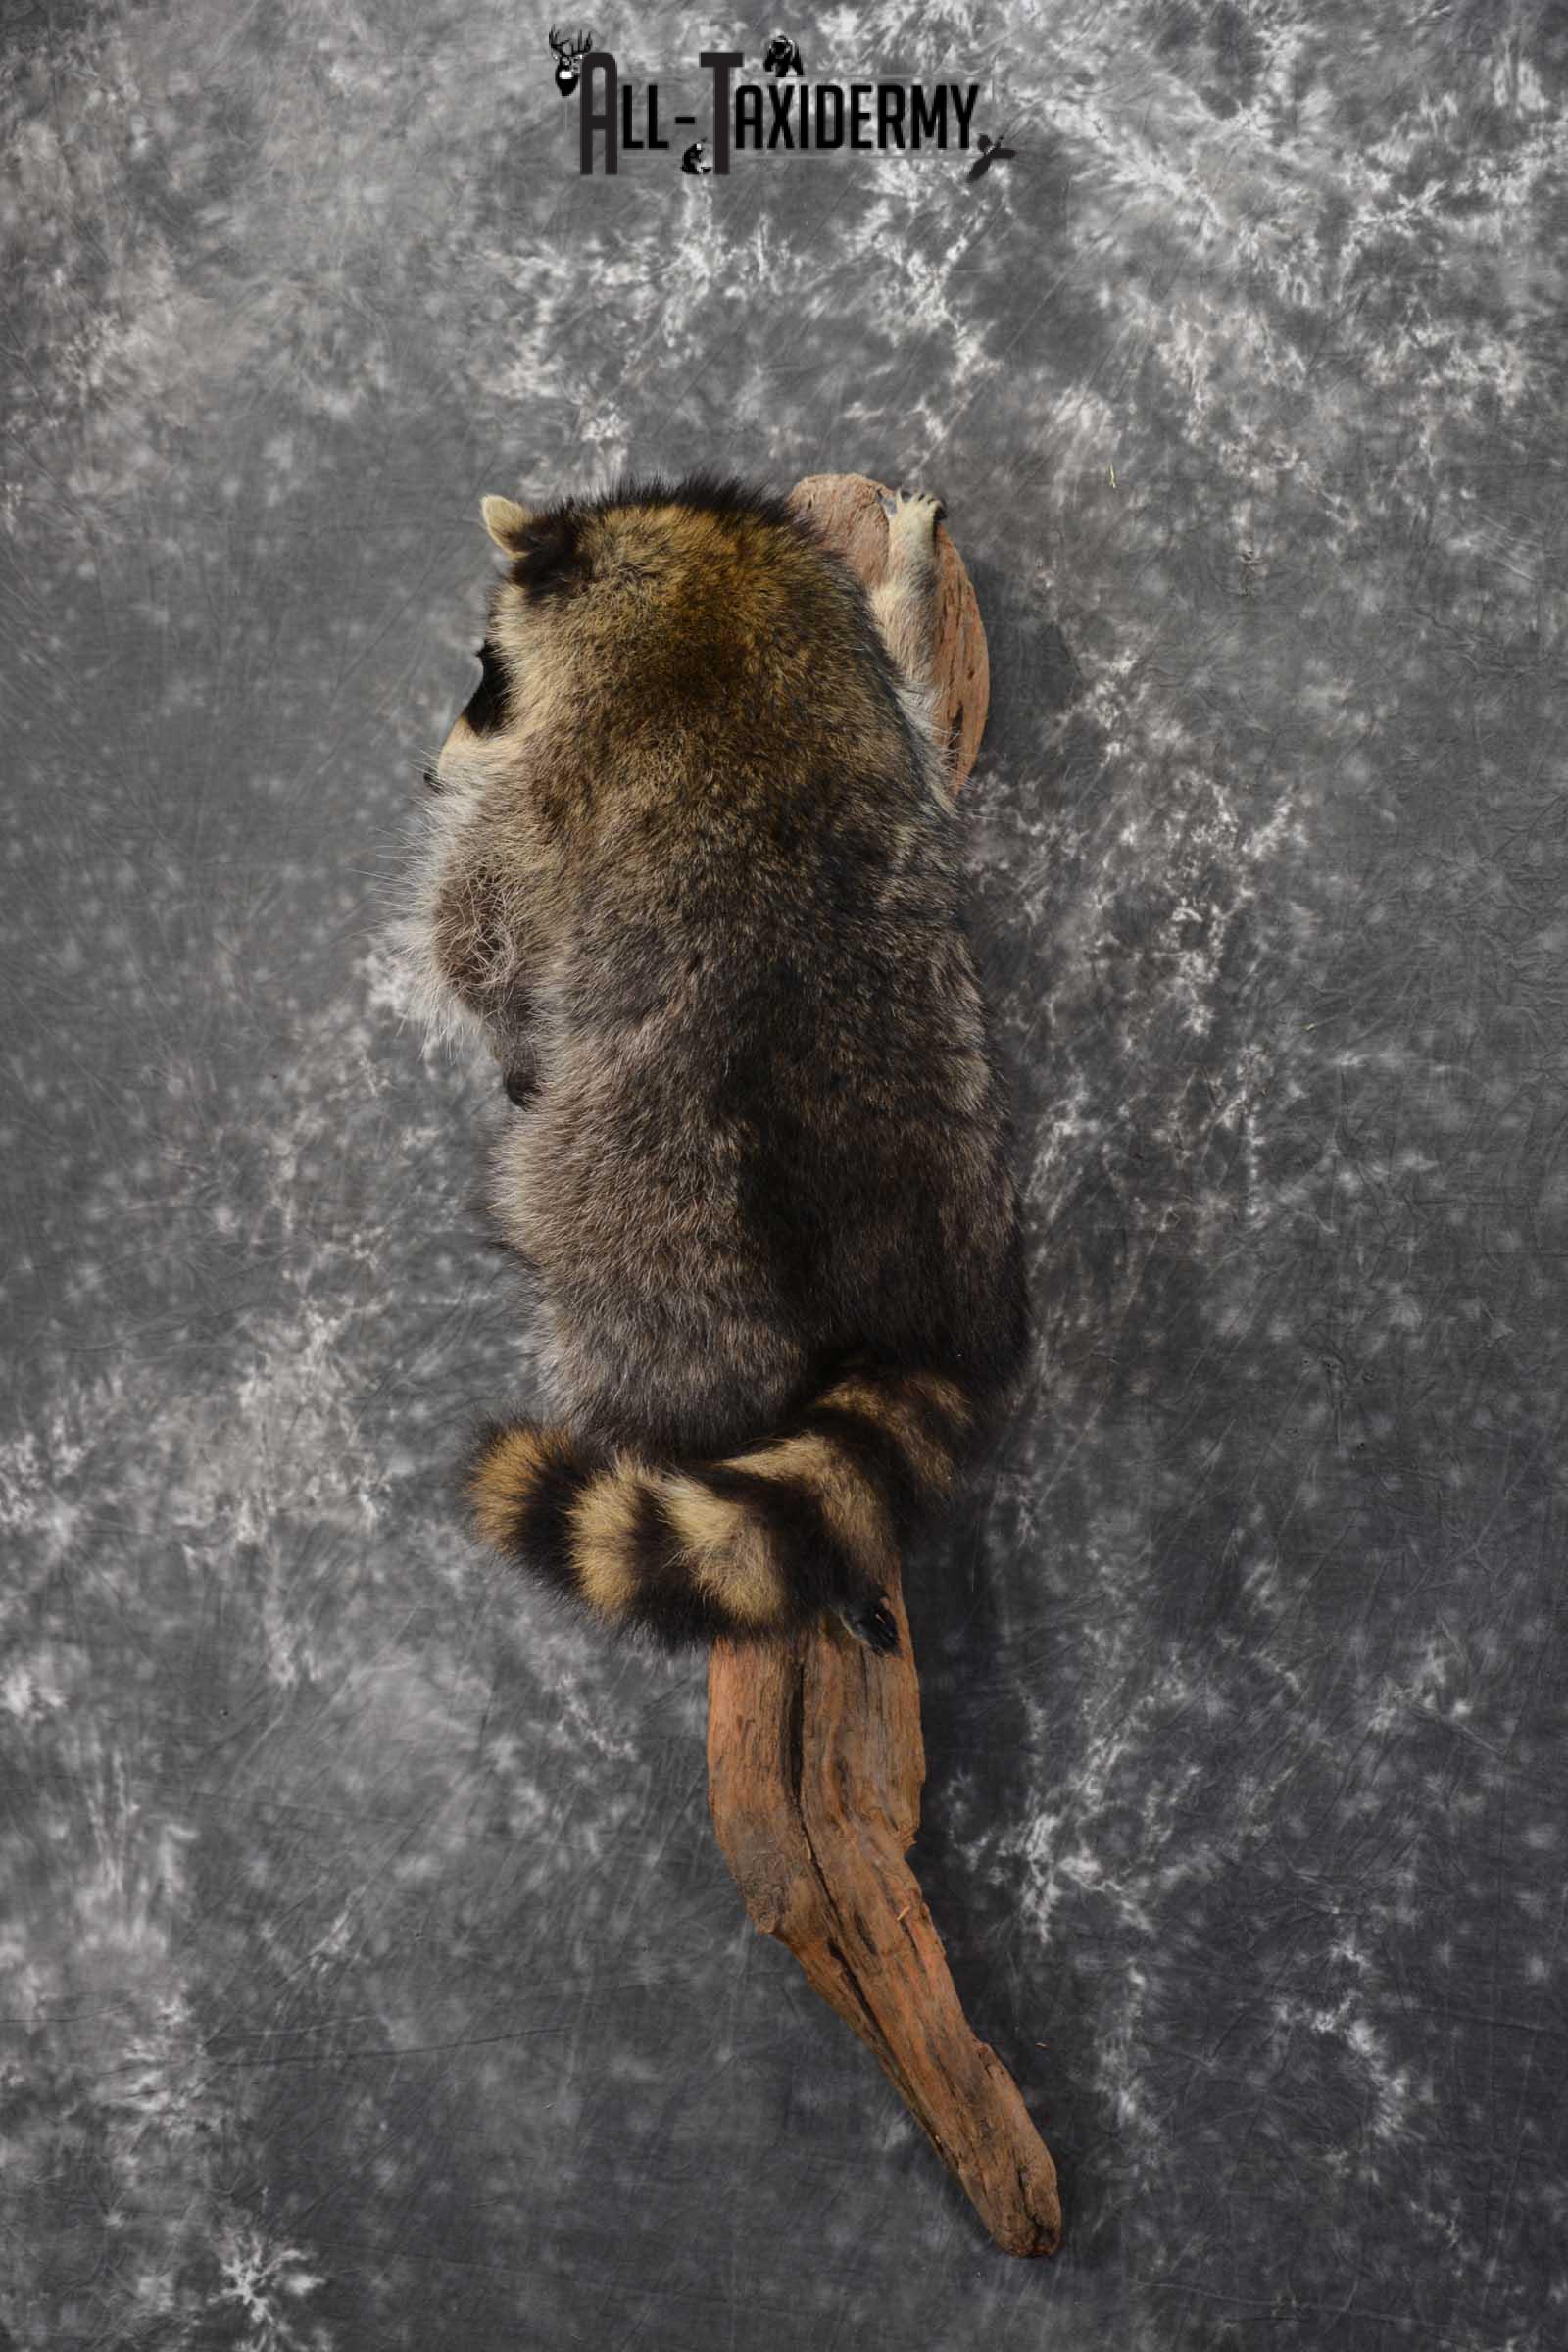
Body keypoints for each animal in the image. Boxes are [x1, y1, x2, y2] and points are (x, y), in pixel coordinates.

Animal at [406, 473, 1028, 1652]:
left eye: (488, 672)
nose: (426, 770)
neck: (707, 576)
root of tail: (914, 1316)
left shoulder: (558, 775)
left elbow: (482, 918)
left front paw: (504, 1021)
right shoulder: (856, 671)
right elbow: (923, 705)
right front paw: (912, 581)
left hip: (648, 1233)